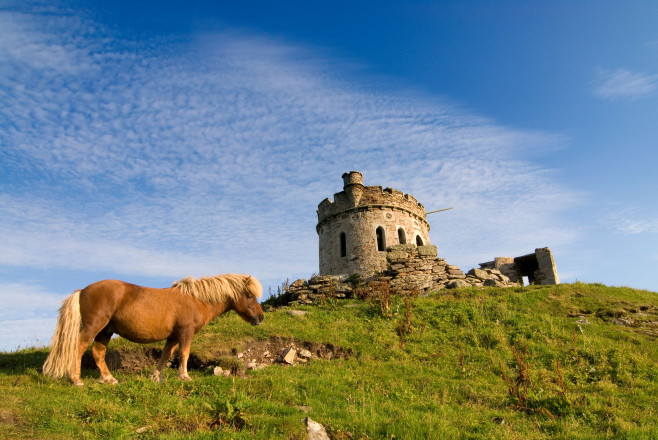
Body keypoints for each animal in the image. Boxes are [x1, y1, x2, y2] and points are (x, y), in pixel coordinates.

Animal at [41, 276, 264, 384]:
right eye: (249, 295)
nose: (260, 317)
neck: (196, 299)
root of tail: (83, 290)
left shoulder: (173, 337)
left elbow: (165, 356)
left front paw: (156, 378)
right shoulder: (185, 333)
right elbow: (184, 354)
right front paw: (184, 376)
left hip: (105, 332)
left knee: (98, 353)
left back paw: (108, 379)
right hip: (94, 326)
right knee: (79, 347)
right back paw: (76, 379)